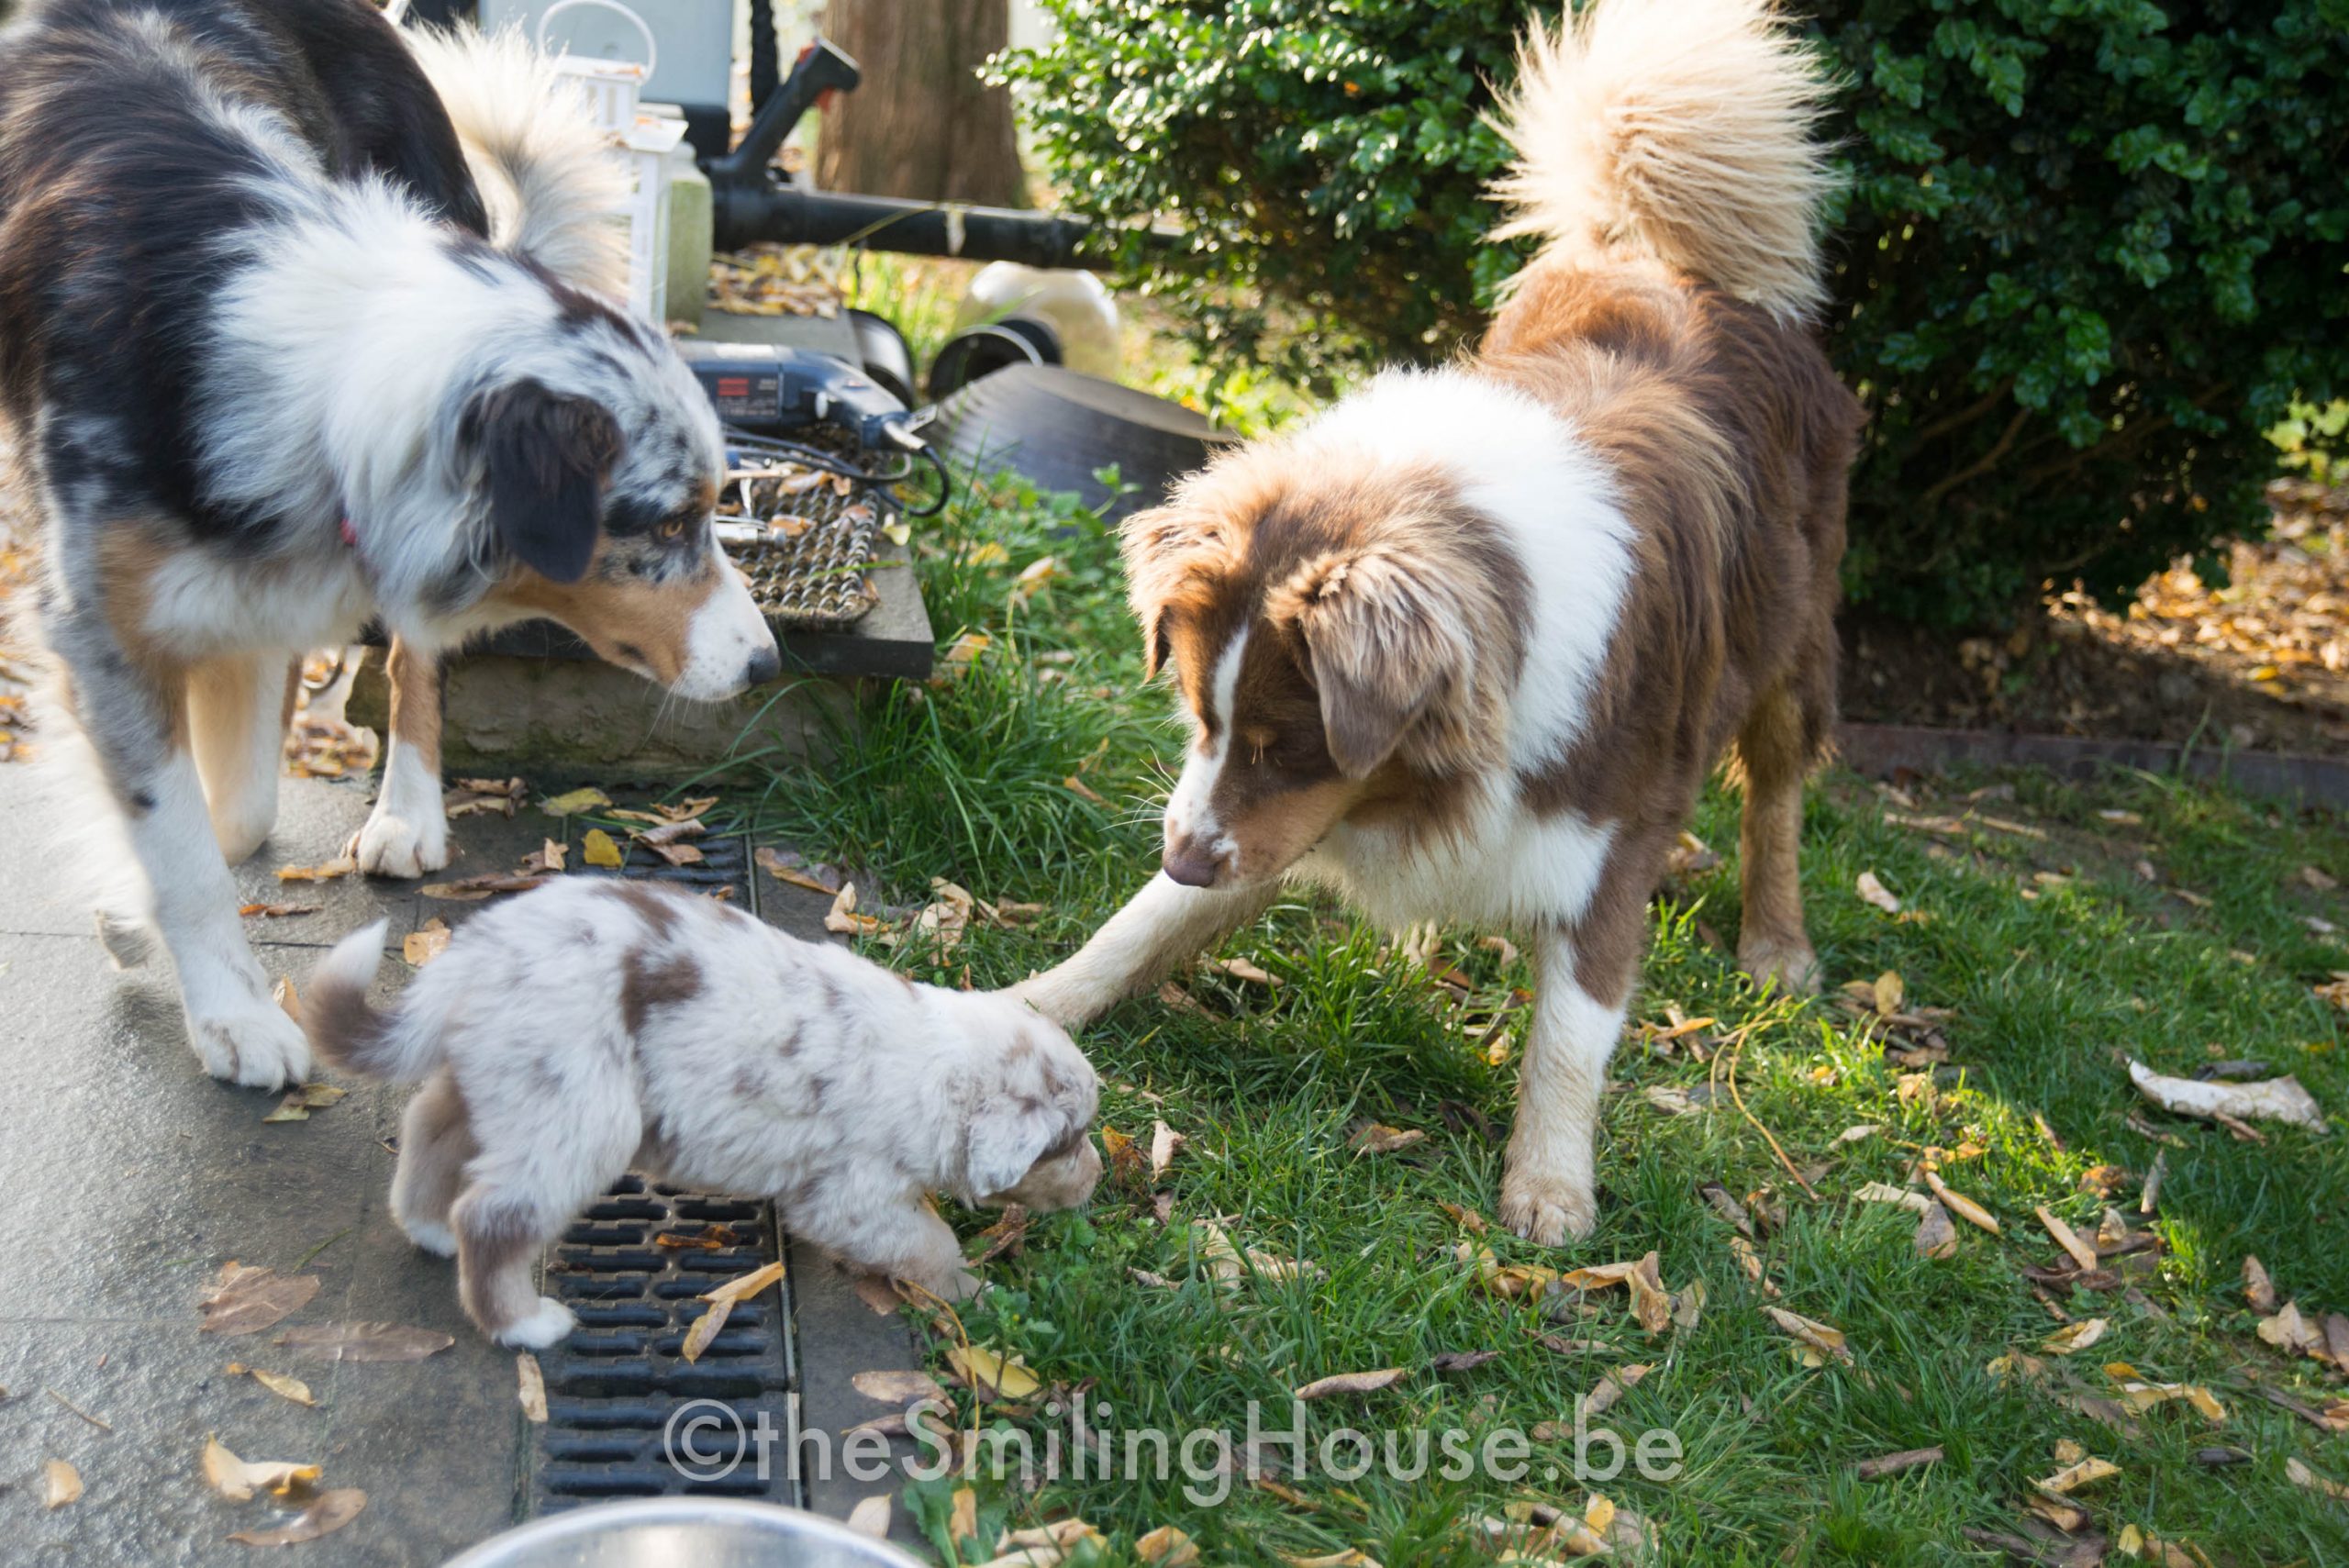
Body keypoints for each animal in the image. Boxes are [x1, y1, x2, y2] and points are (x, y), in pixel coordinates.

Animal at [0, 0, 779, 1090]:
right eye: (669, 521)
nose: (766, 663)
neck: (330, 377)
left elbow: (221, 815)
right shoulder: (102, 620)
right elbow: (189, 842)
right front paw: (222, 996)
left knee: (412, 659)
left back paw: (406, 814)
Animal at [303, 879, 1102, 1346]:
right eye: (1067, 1140)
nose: (1098, 1178)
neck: (938, 1067)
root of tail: (473, 956)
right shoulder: (850, 1191)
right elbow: (928, 1241)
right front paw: (978, 1294)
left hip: (497, 1081)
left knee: (429, 1127)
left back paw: (426, 1225)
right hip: (578, 1111)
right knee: (493, 1216)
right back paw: (525, 1323)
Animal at [1015, 0, 1864, 1245]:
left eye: (1287, 743)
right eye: (1198, 718)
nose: (1177, 853)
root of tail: (1677, 258)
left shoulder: (1609, 835)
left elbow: (1572, 1031)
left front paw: (1551, 1189)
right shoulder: (1262, 819)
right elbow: (1139, 928)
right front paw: (1021, 1001)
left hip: (1795, 640)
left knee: (1780, 789)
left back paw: (1777, 939)